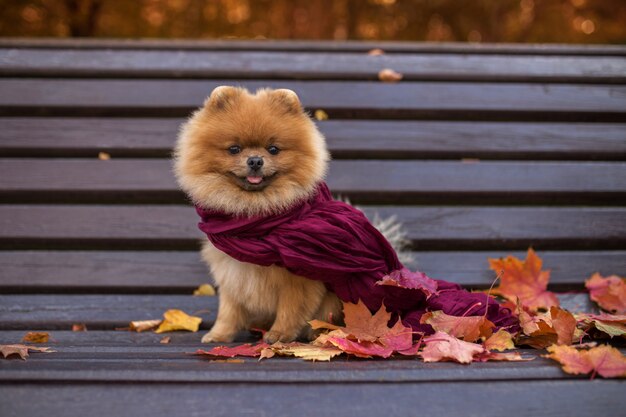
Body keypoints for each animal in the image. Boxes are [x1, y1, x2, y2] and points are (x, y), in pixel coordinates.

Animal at [173, 86, 342, 342]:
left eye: (273, 149)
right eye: (234, 149)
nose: (255, 160)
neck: (254, 210)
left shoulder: (297, 281)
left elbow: (291, 309)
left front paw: (279, 335)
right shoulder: (232, 273)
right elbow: (229, 310)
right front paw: (219, 335)